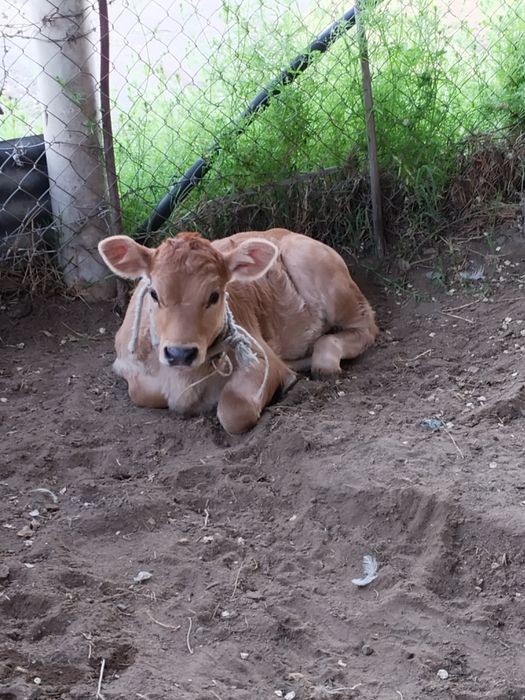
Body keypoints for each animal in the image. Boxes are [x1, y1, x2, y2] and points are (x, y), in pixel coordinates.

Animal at [98, 228, 378, 434]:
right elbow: (141, 392)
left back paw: (323, 362)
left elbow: (235, 410)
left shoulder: (262, 358)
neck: (183, 379)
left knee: (364, 328)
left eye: (214, 295)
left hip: (326, 278)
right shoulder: (127, 365)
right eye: (154, 293)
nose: (180, 353)